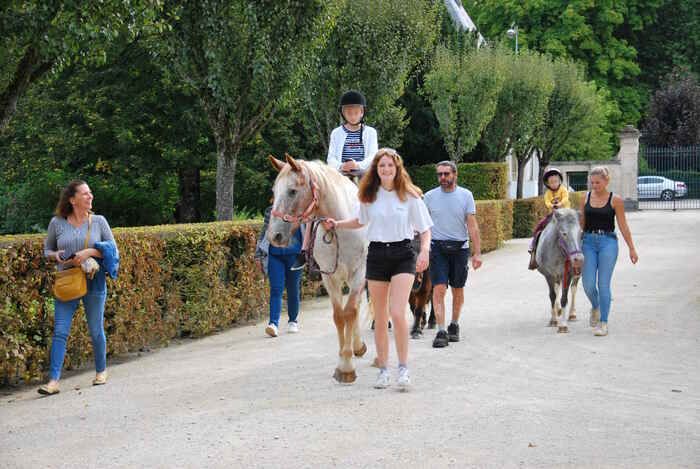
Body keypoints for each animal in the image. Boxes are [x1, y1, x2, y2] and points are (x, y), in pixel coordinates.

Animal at [266, 155, 370, 382]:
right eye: (273, 191)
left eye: (292, 191)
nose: (274, 236)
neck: (341, 226)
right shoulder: (329, 278)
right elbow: (340, 316)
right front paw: (343, 361)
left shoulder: (359, 273)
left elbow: (350, 312)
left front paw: (347, 367)